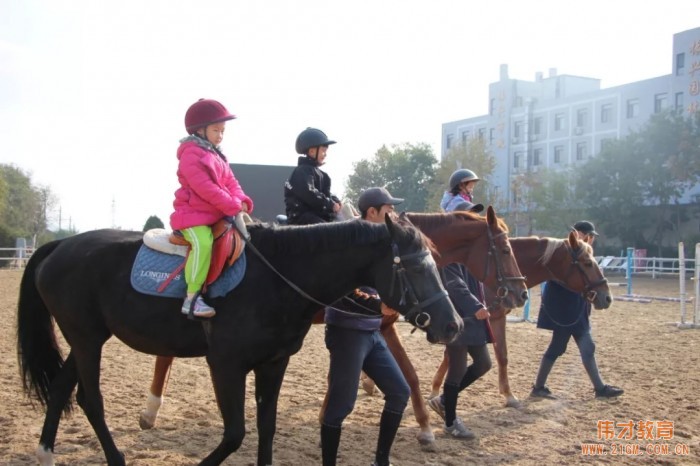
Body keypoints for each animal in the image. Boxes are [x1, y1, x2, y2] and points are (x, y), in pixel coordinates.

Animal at [17, 217, 460, 464]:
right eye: (416, 268)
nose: (453, 325)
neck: (276, 276)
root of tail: (61, 244)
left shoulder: (273, 364)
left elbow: (265, 426)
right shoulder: (225, 366)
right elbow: (234, 434)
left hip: (85, 339)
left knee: (61, 387)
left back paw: (45, 452)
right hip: (86, 339)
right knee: (90, 399)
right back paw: (114, 458)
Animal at [139, 208, 528, 448]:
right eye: (505, 248)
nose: (520, 293)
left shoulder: (384, 325)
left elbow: (405, 374)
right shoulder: (378, 325)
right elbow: (409, 375)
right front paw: (425, 427)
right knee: (164, 355)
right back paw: (150, 410)